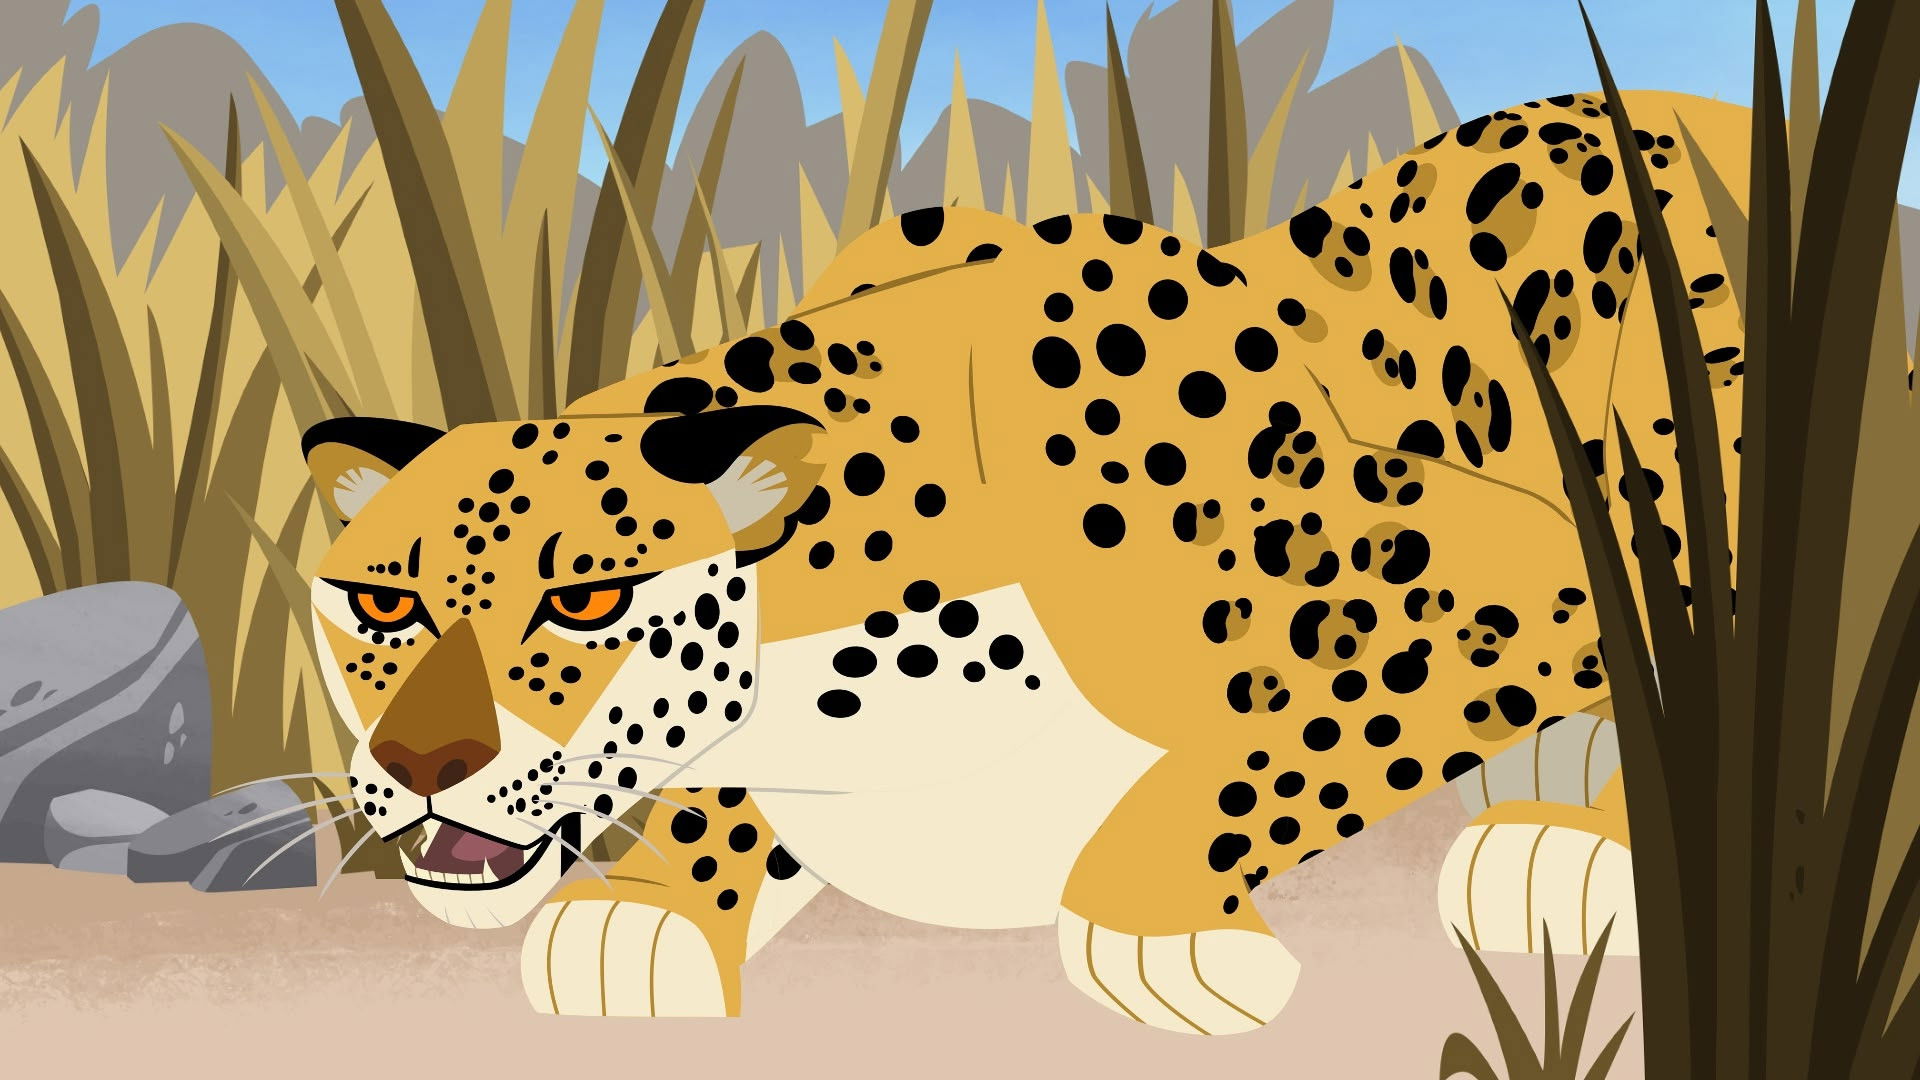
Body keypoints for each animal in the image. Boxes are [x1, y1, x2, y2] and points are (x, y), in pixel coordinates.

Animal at [300, 88, 1750, 1034]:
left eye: (586, 598)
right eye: (378, 603)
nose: (422, 766)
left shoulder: (1498, 576)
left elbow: (1271, 754)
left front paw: (1152, 926)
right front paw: (659, 908)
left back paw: (1572, 846)